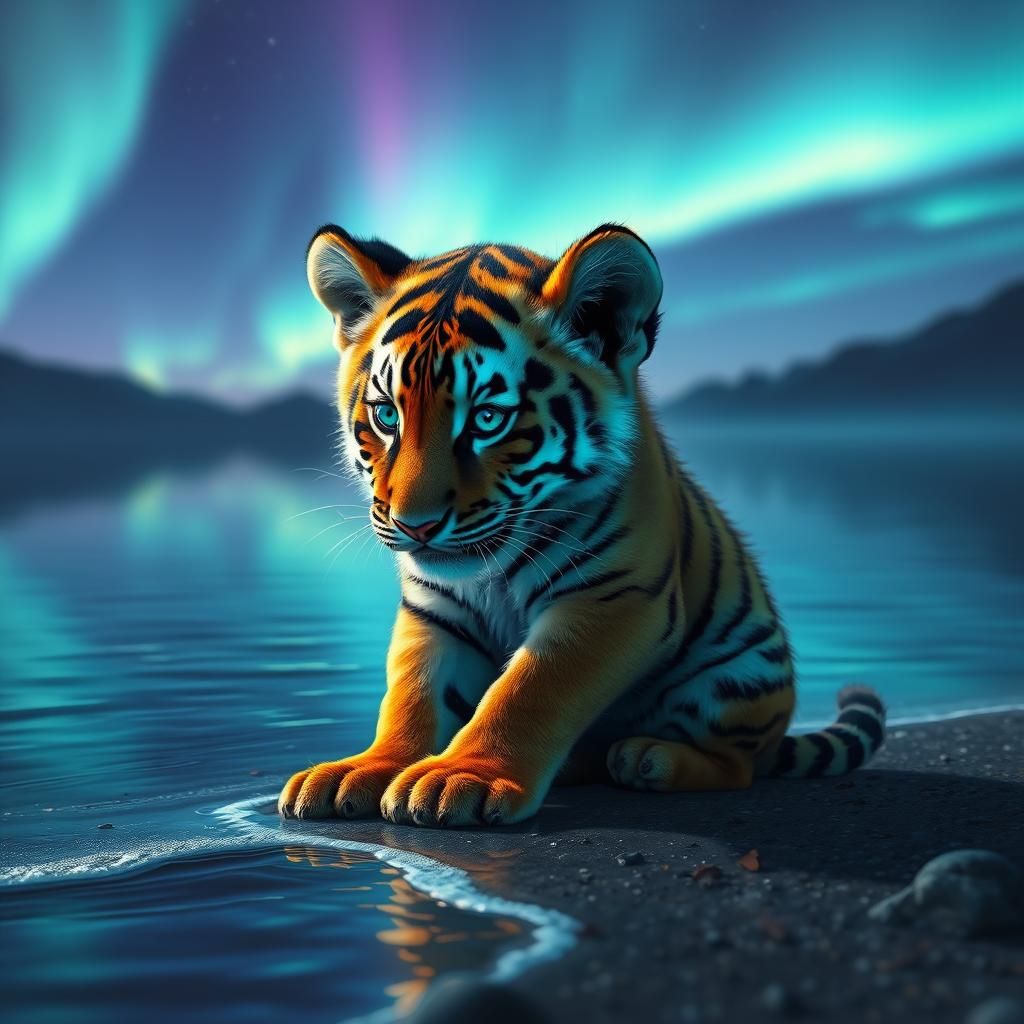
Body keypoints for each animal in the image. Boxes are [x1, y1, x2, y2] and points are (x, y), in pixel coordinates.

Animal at [278, 223, 886, 827]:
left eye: (487, 419)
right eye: (387, 415)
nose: (415, 525)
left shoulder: (612, 598)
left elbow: (529, 689)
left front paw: (461, 776)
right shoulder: (434, 611)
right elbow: (412, 695)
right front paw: (367, 768)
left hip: (738, 675)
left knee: (737, 765)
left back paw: (649, 758)